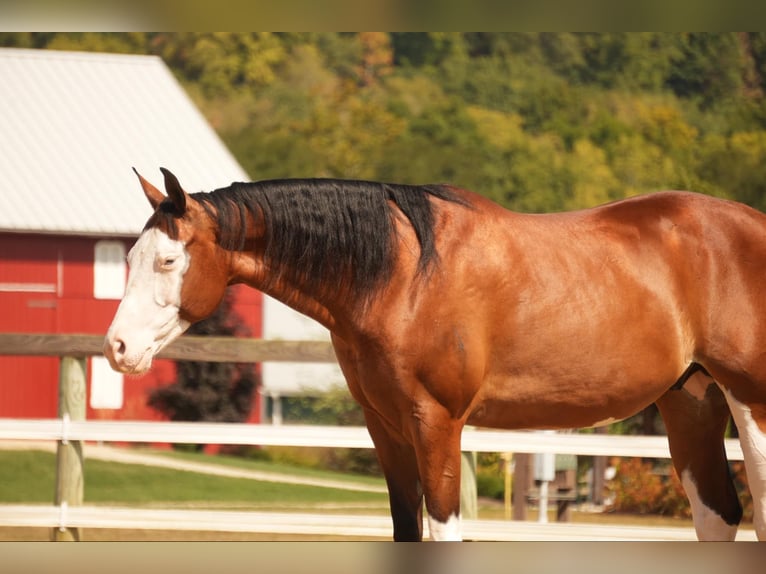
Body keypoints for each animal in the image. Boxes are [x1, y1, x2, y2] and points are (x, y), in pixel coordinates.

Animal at [105, 169, 766, 544]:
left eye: (168, 259)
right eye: (128, 257)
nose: (117, 348)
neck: (399, 276)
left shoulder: (437, 423)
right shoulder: (386, 427)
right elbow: (406, 528)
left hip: (750, 404)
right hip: (691, 400)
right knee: (718, 515)